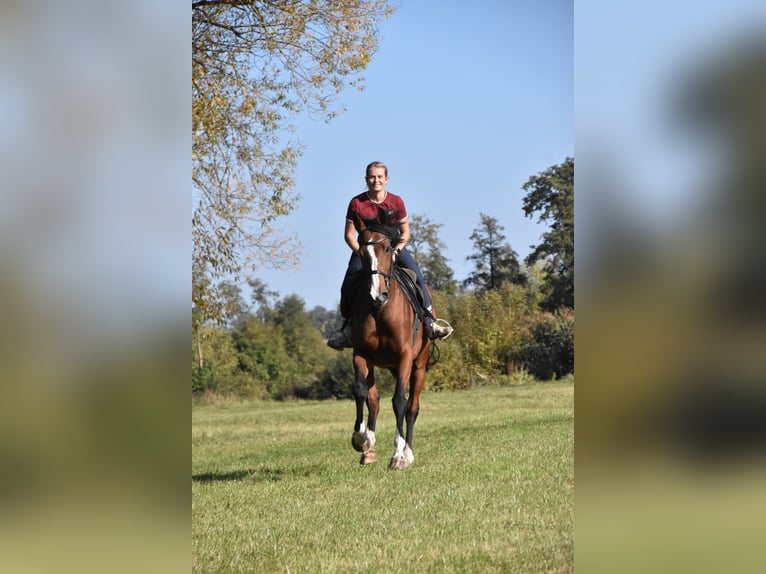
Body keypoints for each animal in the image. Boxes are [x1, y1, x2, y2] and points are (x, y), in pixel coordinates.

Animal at [348, 213, 433, 470]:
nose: (378, 295)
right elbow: (360, 392)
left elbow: (399, 402)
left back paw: (408, 452)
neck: (380, 311)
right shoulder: (361, 354)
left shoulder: (404, 357)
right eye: (362, 252)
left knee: (412, 407)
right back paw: (369, 450)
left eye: (387, 248)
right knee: (374, 400)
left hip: (419, 365)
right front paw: (360, 439)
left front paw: (398, 456)